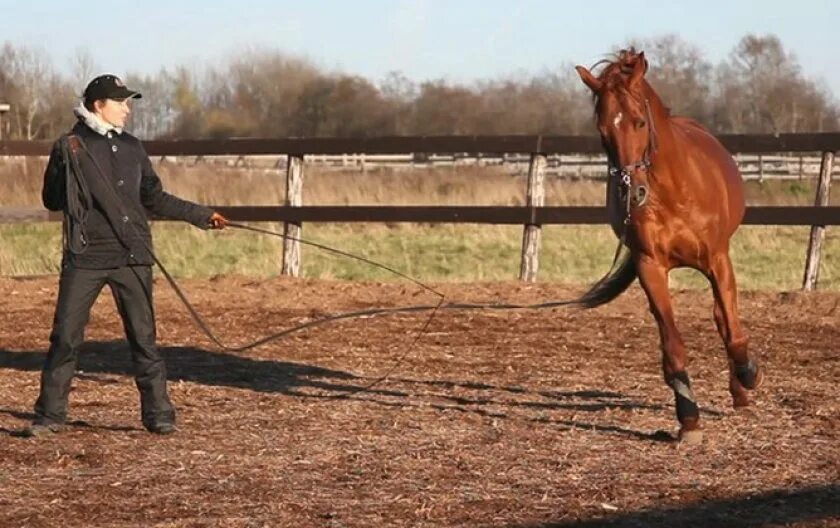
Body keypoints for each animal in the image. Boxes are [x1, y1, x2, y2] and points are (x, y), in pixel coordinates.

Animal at [576, 51, 760, 444]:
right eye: (602, 132)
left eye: (640, 121)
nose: (632, 193)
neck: (675, 192)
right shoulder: (651, 267)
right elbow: (673, 347)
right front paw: (688, 420)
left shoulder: (718, 261)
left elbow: (734, 333)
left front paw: (749, 375)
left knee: (724, 320)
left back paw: (741, 389)